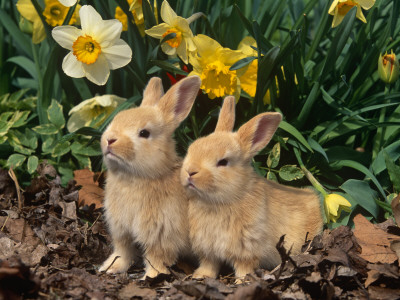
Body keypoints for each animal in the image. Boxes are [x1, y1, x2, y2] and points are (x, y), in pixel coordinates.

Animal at [99, 75, 202, 278]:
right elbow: (122, 252)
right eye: (116, 119)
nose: (109, 140)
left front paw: (151, 277)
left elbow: (156, 258)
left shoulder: (161, 235)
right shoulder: (121, 230)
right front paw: (109, 268)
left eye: (144, 133)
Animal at [180, 95, 324, 282]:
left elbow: (244, 268)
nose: (190, 171)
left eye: (223, 162)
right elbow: (209, 264)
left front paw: (242, 281)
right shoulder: (208, 249)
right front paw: (200, 276)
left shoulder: (247, 250)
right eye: (192, 149)